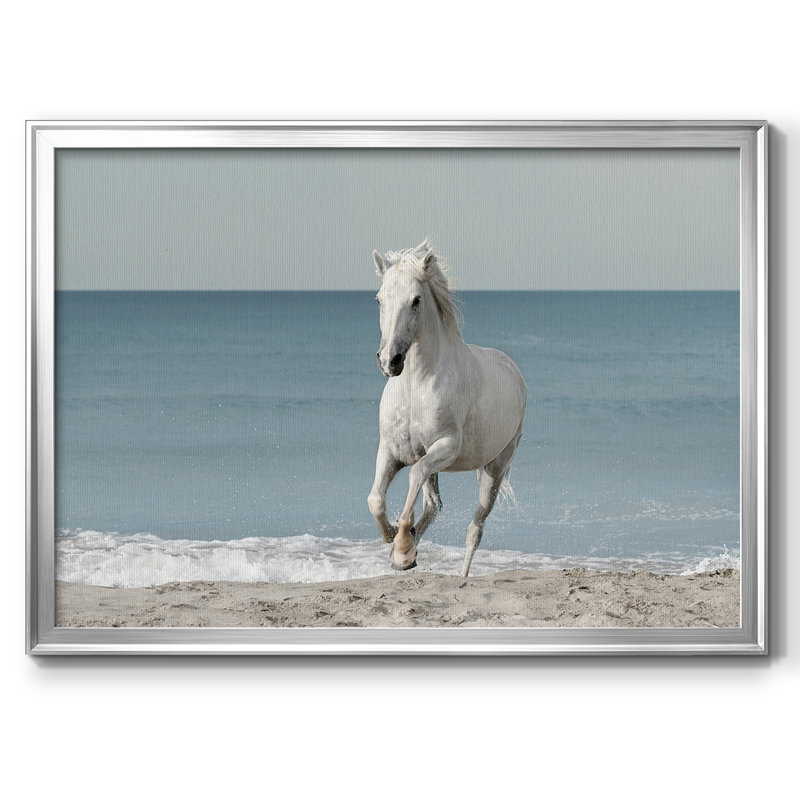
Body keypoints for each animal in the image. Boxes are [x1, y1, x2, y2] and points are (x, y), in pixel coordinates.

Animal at [367, 239, 527, 577]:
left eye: (415, 300)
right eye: (379, 299)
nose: (390, 361)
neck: (415, 388)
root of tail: (513, 368)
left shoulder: (446, 447)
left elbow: (414, 476)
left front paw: (402, 545)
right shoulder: (391, 450)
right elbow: (376, 499)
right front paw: (396, 542)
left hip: (494, 470)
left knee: (475, 530)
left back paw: (460, 575)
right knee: (433, 505)